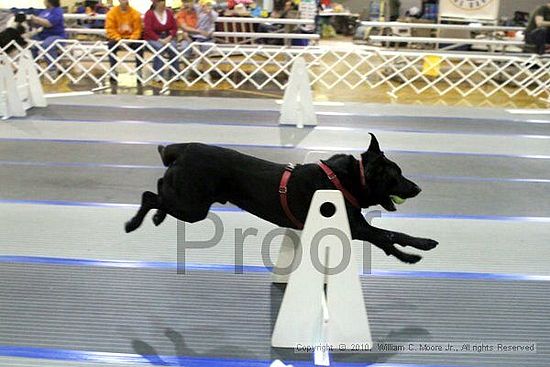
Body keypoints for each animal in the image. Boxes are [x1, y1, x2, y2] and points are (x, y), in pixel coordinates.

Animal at [126, 135, 440, 264]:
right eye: (396, 176)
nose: (417, 188)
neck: (346, 180)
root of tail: (182, 150)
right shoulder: (355, 227)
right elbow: (392, 234)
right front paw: (424, 244)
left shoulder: (357, 227)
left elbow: (386, 240)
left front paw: (409, 257)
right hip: (194, 207)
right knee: (151, 194)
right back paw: (134, 223)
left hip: (190, 202)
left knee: (160, 190)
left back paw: (156, 217)